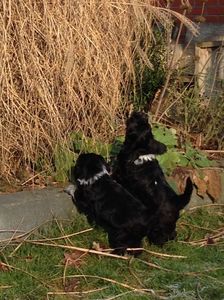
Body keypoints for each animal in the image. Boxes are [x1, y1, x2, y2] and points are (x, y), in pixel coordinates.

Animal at [113, 111, 193, 245]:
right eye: (145, 123)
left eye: (135, 123)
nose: (141, 113)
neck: (141, 151)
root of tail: (177, 201)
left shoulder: (119, 173)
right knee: (172, 233)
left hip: (161, 224)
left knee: (162, 236)